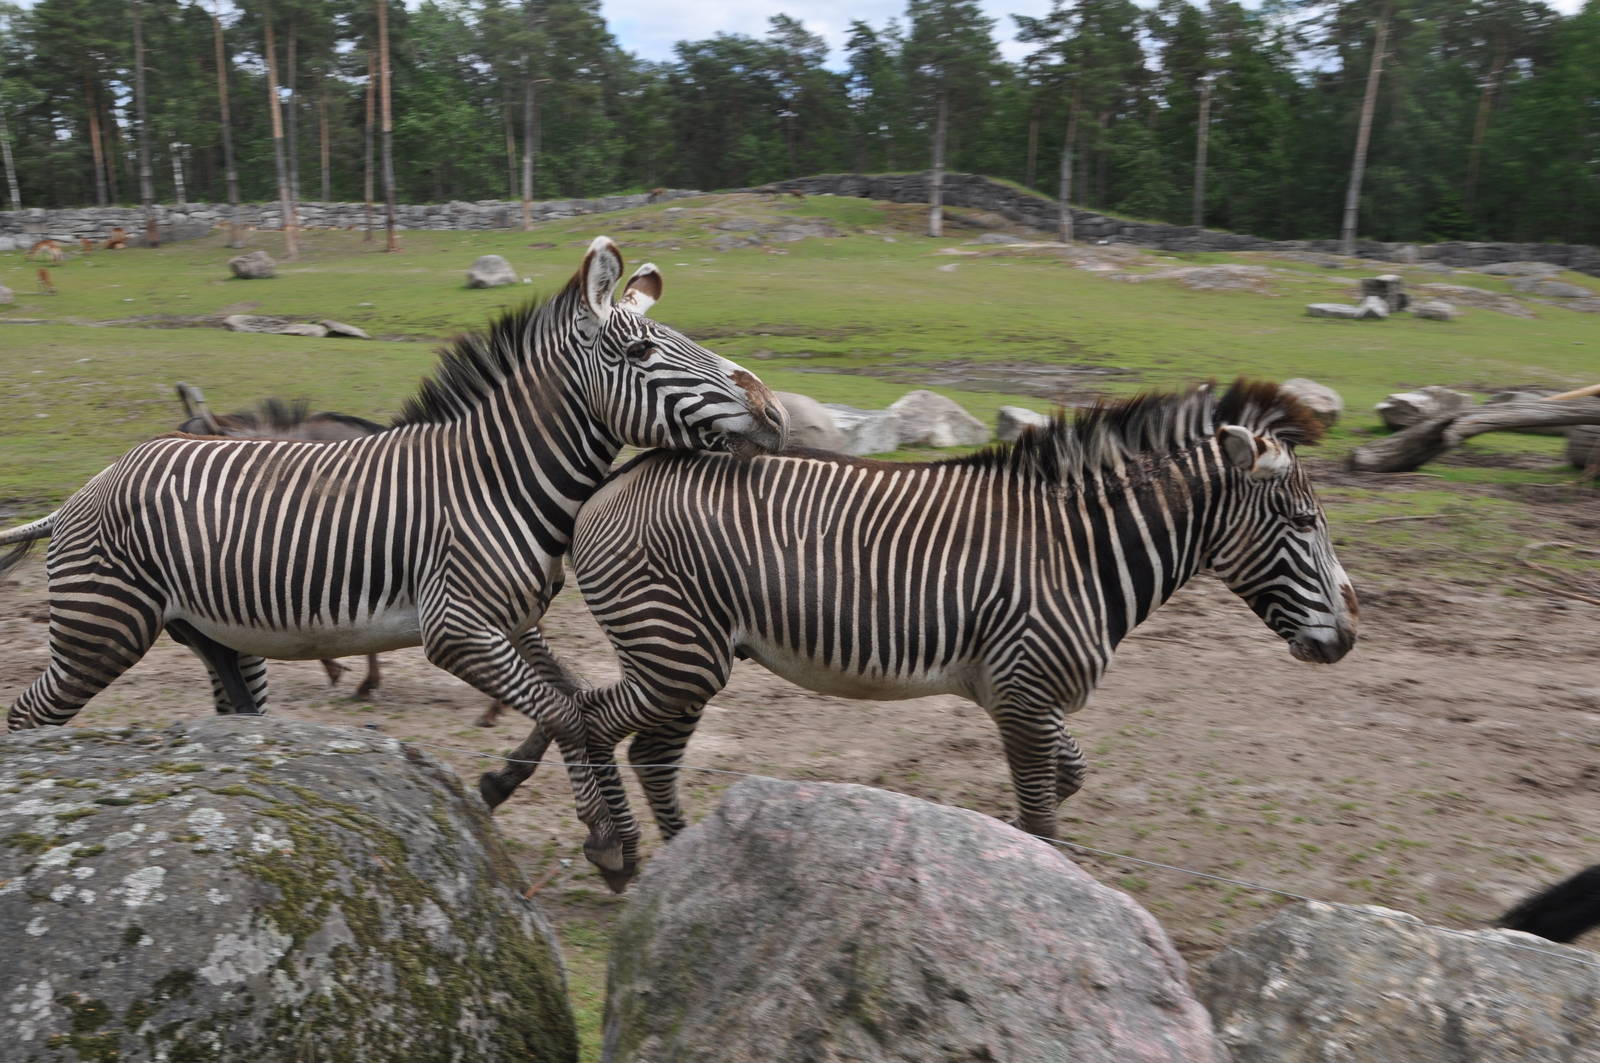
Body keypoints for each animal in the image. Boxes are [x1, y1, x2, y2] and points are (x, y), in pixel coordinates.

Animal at [0, 236, 788, 883]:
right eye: (641, 355)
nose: (775, 411)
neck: (497, 478)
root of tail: (81, 491)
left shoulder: (513, 622)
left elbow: (567, 701)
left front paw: (579, 821)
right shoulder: (457, 627)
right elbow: (567, 711)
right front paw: (604, 835)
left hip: (216, 635)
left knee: (234, 711)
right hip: (101, 631)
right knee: (26, 716)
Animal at [478, 379, 1357, 887]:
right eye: (1304, 522)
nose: (1349, 637)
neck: (1081, 551)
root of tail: (623, 473)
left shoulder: (1023, 696)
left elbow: (1065, 779)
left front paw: (1013, 848)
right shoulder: (1025, 694)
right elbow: (1044, 807)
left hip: (689, 652)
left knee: (638, 745)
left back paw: (686, 862)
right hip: (677, 650)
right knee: (594, 719)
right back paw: (615, 850)